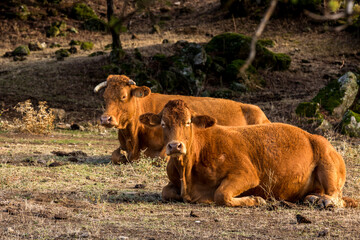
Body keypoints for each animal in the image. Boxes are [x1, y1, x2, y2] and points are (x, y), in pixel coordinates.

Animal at [94, 75, 268, 164]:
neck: (133, 137)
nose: (105, 119)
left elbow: (159, 156)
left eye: (123, 96)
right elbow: (115, 155)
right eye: (104, 97)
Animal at [138, 99, 354, 208]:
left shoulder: (247, 174)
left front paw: (255, 200)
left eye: (188, 122)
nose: (175, 146)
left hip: (327, 160)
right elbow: (165, 192)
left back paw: (321, 200)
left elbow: (221, 194)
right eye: (163, 123)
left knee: (337, 197)